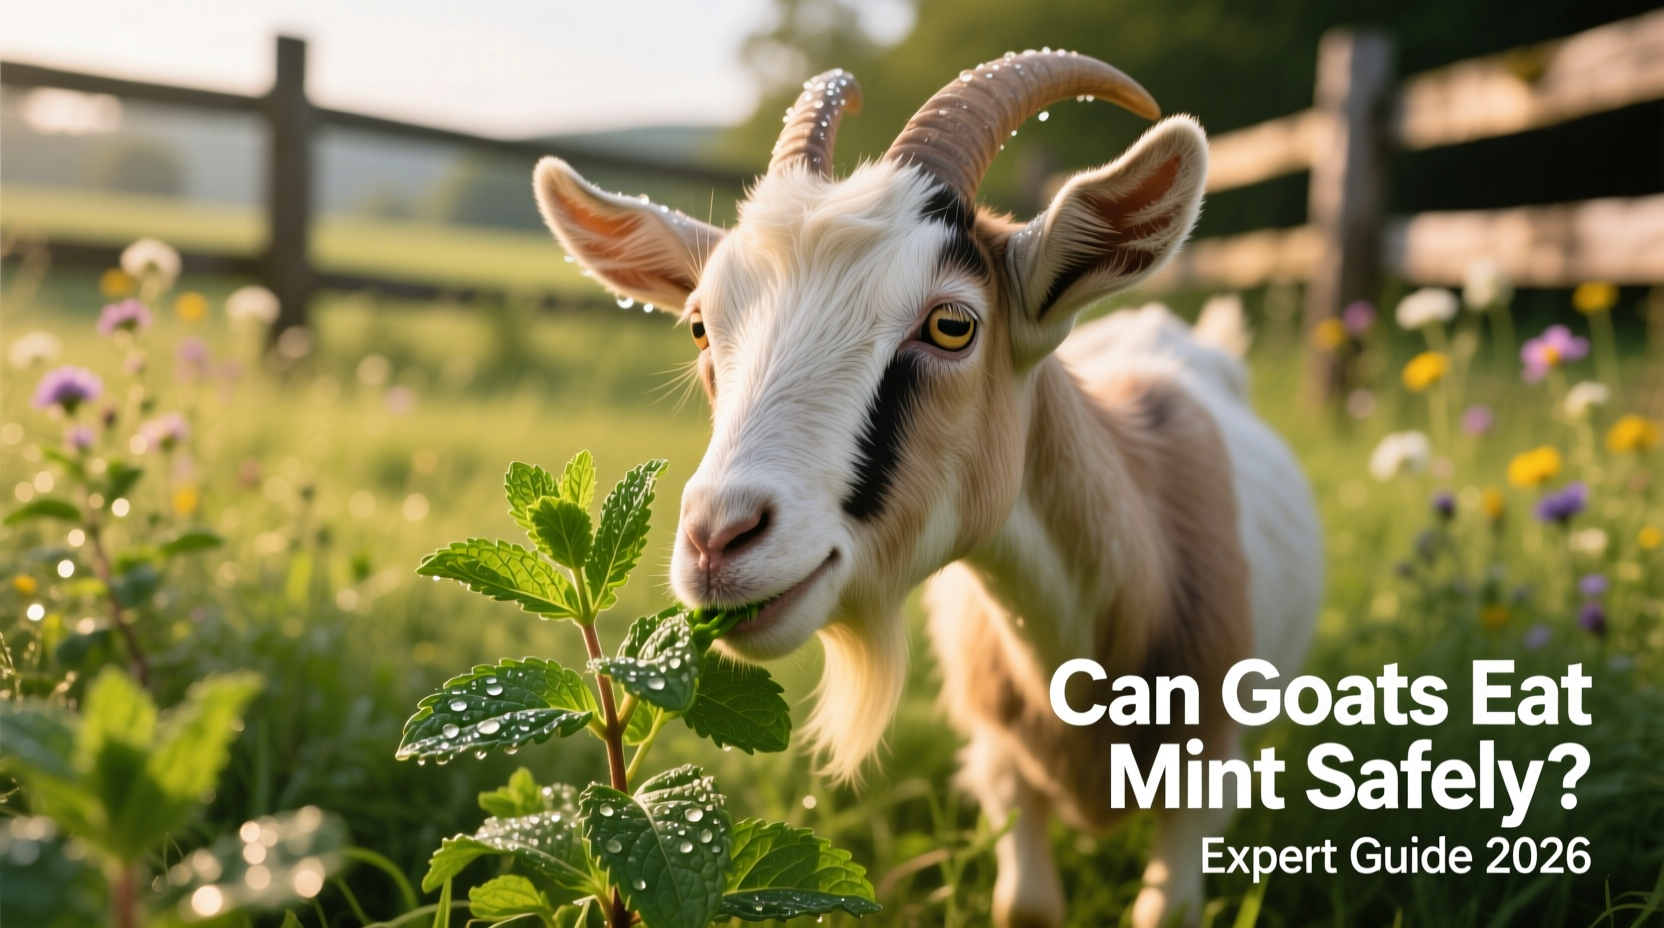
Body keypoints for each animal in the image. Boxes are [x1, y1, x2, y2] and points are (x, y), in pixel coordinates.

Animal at [534, 52, 1323, 928]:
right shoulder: (999, 766)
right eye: (702, 325)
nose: (718, 540)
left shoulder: (1204, 784)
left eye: (952, 324)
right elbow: (1028, 906)